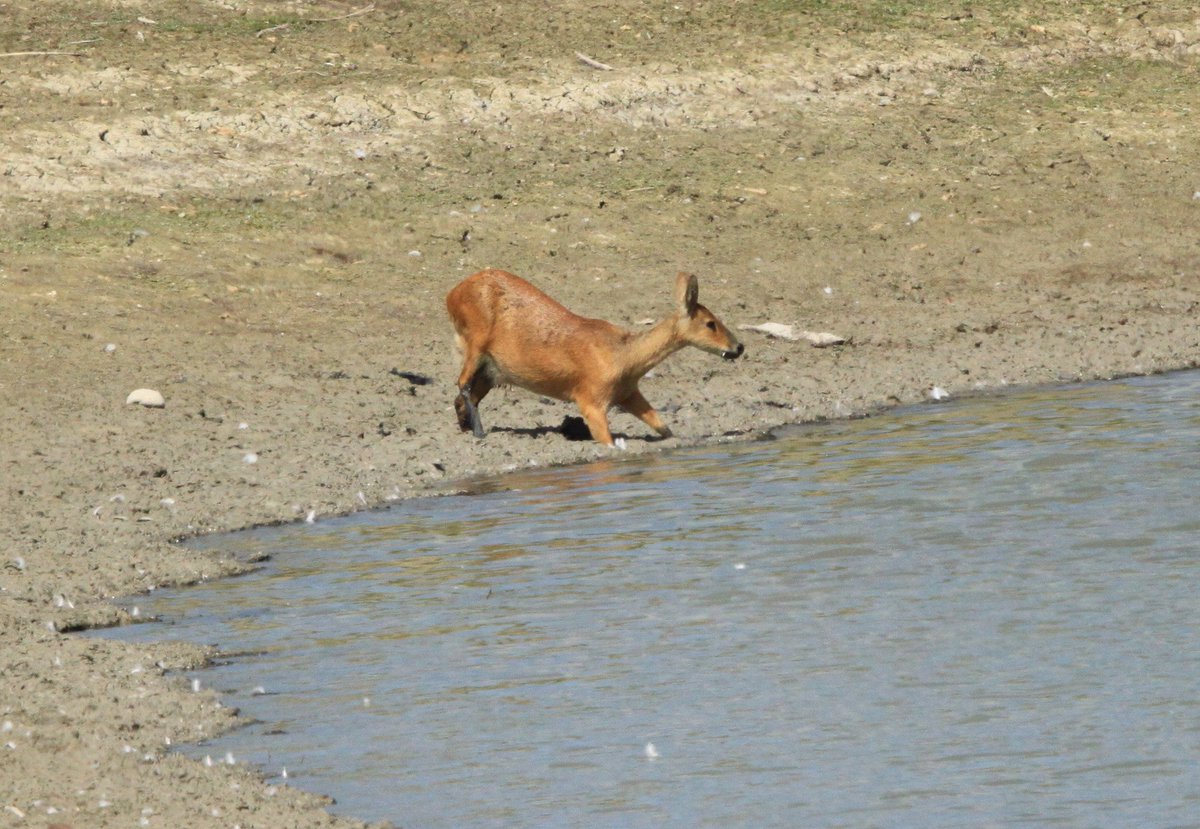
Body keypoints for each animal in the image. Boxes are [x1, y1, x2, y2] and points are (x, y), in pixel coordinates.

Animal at [445, 268, 744, 446]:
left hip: (492, 370)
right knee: (462, 384)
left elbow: (664, 427)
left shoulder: (628, 392)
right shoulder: (590, 399)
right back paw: (479, 432)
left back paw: (466, 427)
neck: (624, 358)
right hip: (476, 342)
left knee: (463, 396)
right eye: (710, 323)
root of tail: (451, 295)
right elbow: (608, 441)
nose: (738, 347)